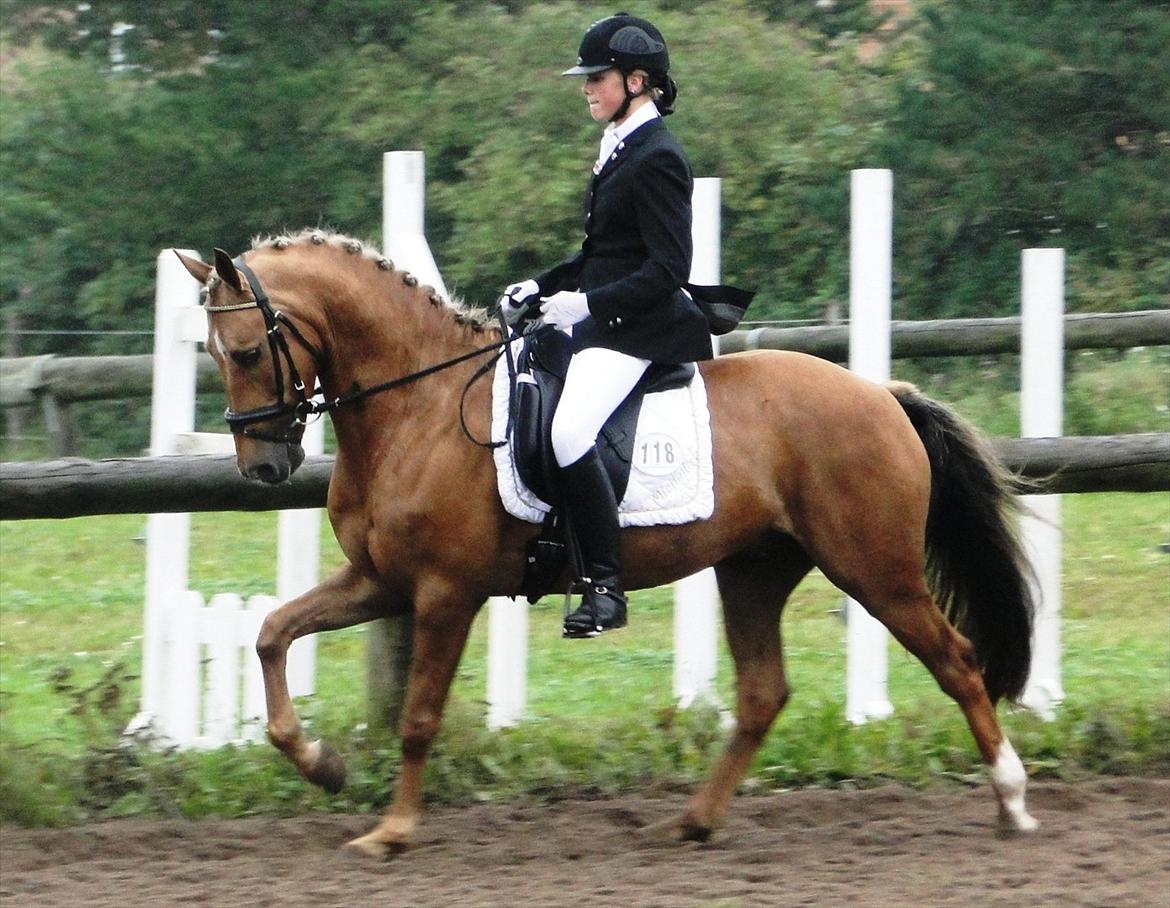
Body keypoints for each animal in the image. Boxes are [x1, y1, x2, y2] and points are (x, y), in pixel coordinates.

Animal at [176, 229, 1038, 858]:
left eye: (246, 351)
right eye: (212, 356)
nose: (263, 467)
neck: (416, 405)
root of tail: (881, 394)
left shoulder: (446, 593)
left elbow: (419, 716)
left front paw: (391, 832)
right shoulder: (380, 581)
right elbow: (271, 633)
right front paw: (322, 766)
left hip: (875, 570)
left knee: (957, 663)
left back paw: (1012, 801)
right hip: (754, 569)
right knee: (764, 693)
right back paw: (693, 822)